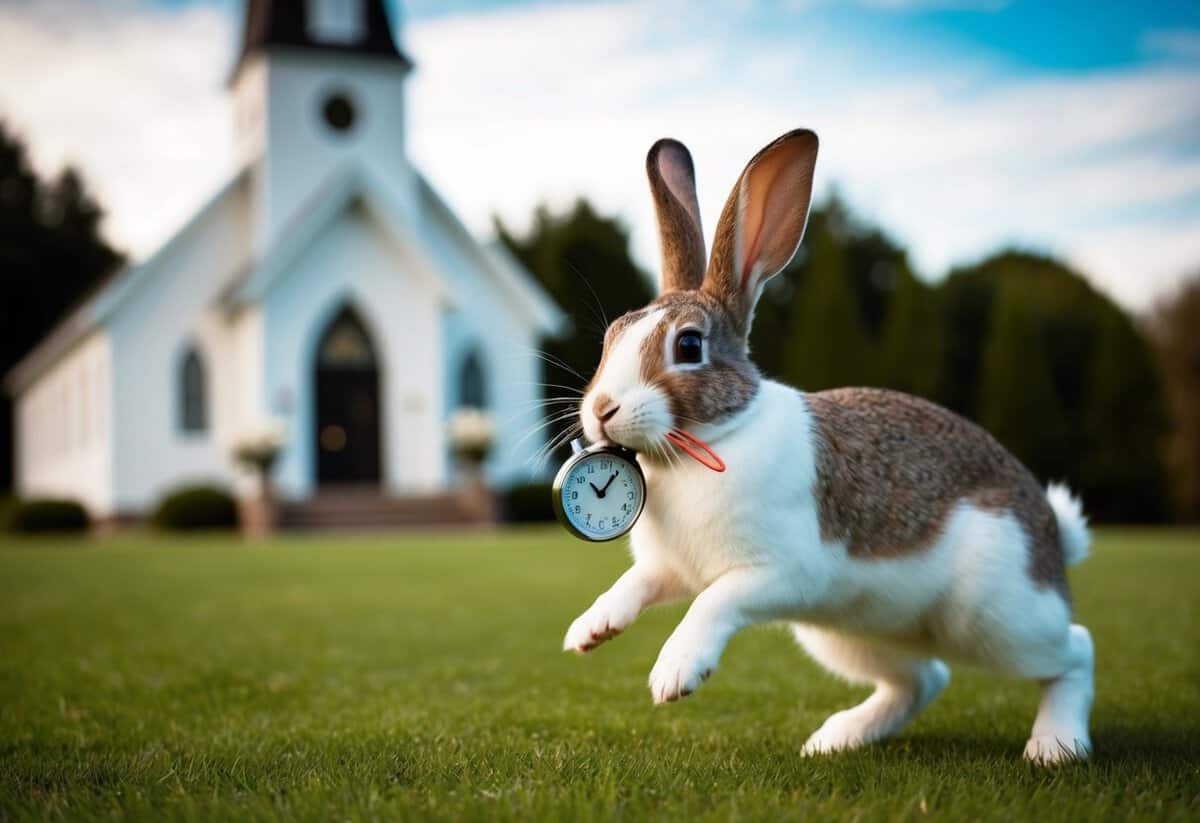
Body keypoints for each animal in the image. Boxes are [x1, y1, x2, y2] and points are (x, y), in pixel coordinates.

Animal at [562, 129, 1094, 764]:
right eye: (613, 334)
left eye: (688, 346)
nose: (601, 409)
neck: (711, 440)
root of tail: (1054, 536)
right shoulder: (669, 568)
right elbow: (634, 585)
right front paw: (588, 631)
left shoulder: (776, 573)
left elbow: (712, 604)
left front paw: (675, 674)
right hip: (854, 635)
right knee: (923, 679)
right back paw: (836, 739)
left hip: (999, 617)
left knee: (1075, 651)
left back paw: (1055, 746)